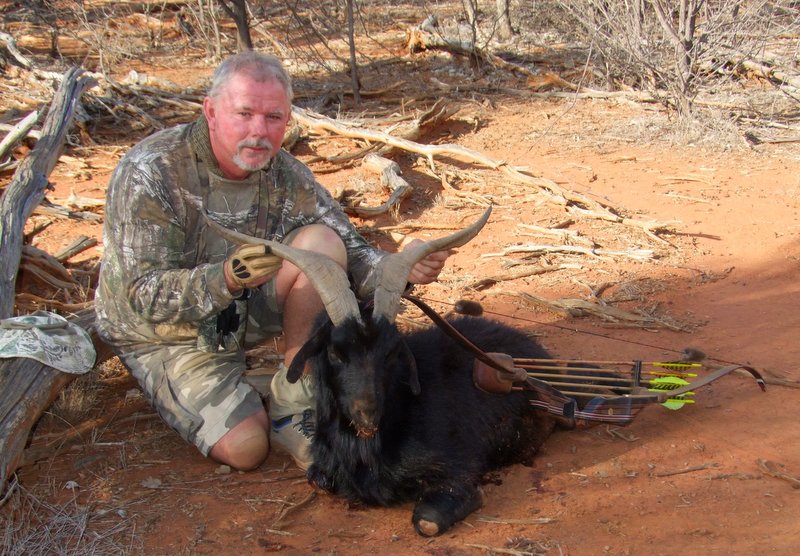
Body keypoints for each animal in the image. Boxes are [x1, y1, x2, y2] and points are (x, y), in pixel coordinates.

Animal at [286, 312, 556, 536]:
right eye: (334, 353)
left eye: (390, 353)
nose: (368, 414)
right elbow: (316, 479)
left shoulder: (457, 465)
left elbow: (428, 521)